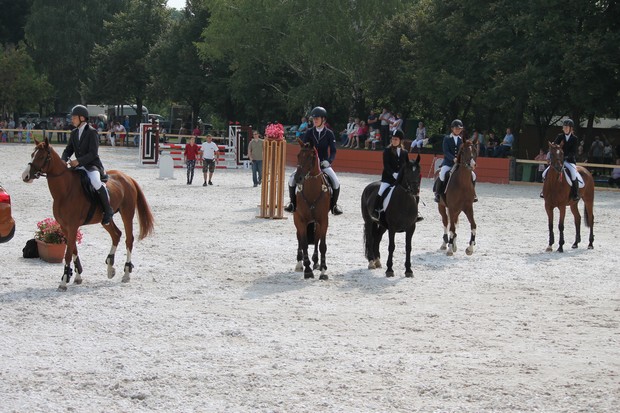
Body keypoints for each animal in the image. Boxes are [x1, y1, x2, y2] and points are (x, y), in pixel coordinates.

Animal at [22, 138, 155, 291]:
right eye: (32, 154)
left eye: (41, 157)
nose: (25, 176)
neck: (65, 191)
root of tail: (127, 177)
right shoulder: (64, 227)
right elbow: (74, 250)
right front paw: (76, 276)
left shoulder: (73, 226)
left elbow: (68, 254)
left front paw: (63, 282)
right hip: (105, 219)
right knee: (116, 234)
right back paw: (110, 267)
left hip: (127, 213)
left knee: (129, 239)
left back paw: (126, 273)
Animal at [293, 138, 330, 280]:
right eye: (298, 156)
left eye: (310, 157)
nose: (298, 178)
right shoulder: (301, 220)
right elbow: (303, 243)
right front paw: (307, 269)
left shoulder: (323, 220)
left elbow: (322, 245)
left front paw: (323, 271)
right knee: (299, 238)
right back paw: (300, 263)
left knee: (316, 239)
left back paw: (316, 263)